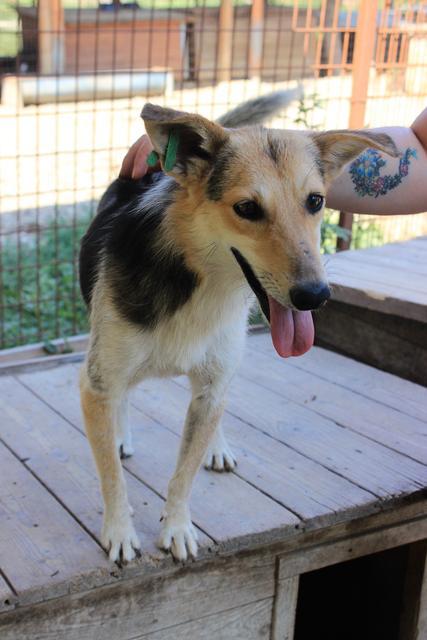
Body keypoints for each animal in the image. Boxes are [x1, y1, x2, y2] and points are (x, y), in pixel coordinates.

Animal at [79, 92, 398, 564]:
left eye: (315, 201)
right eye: (247, 208)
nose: (315, 296)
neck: (199, 282)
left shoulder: (213, 387)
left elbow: (185, 472)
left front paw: (178, 526)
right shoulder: (97, 382)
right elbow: (111, 476)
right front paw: (119, 531)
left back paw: (216, 446)